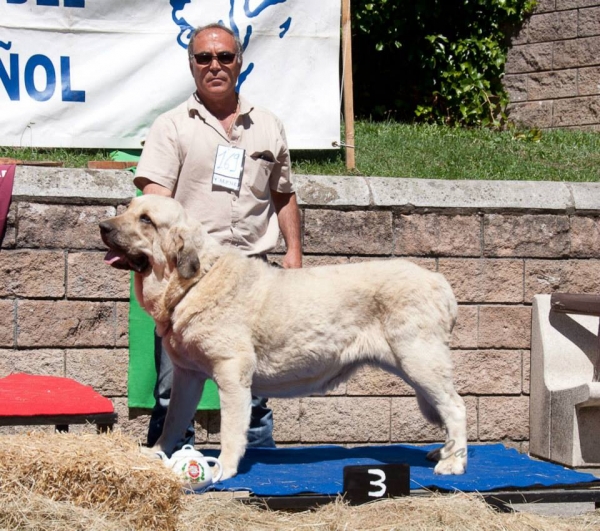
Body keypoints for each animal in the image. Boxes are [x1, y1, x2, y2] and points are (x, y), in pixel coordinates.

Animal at [99, 196, 468, 482]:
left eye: (146, 220)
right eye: (129, 208)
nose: (103, 226)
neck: (194, 281)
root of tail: (439, 281)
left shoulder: (231, 373)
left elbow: (232, 429)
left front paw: (224, 469)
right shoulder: (188, 376)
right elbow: (173, 420)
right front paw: (156, 453)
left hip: (419, 360)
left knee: (455, 407)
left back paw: (453, 462)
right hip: (416, 367)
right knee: (446, 406)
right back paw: (443, 452)